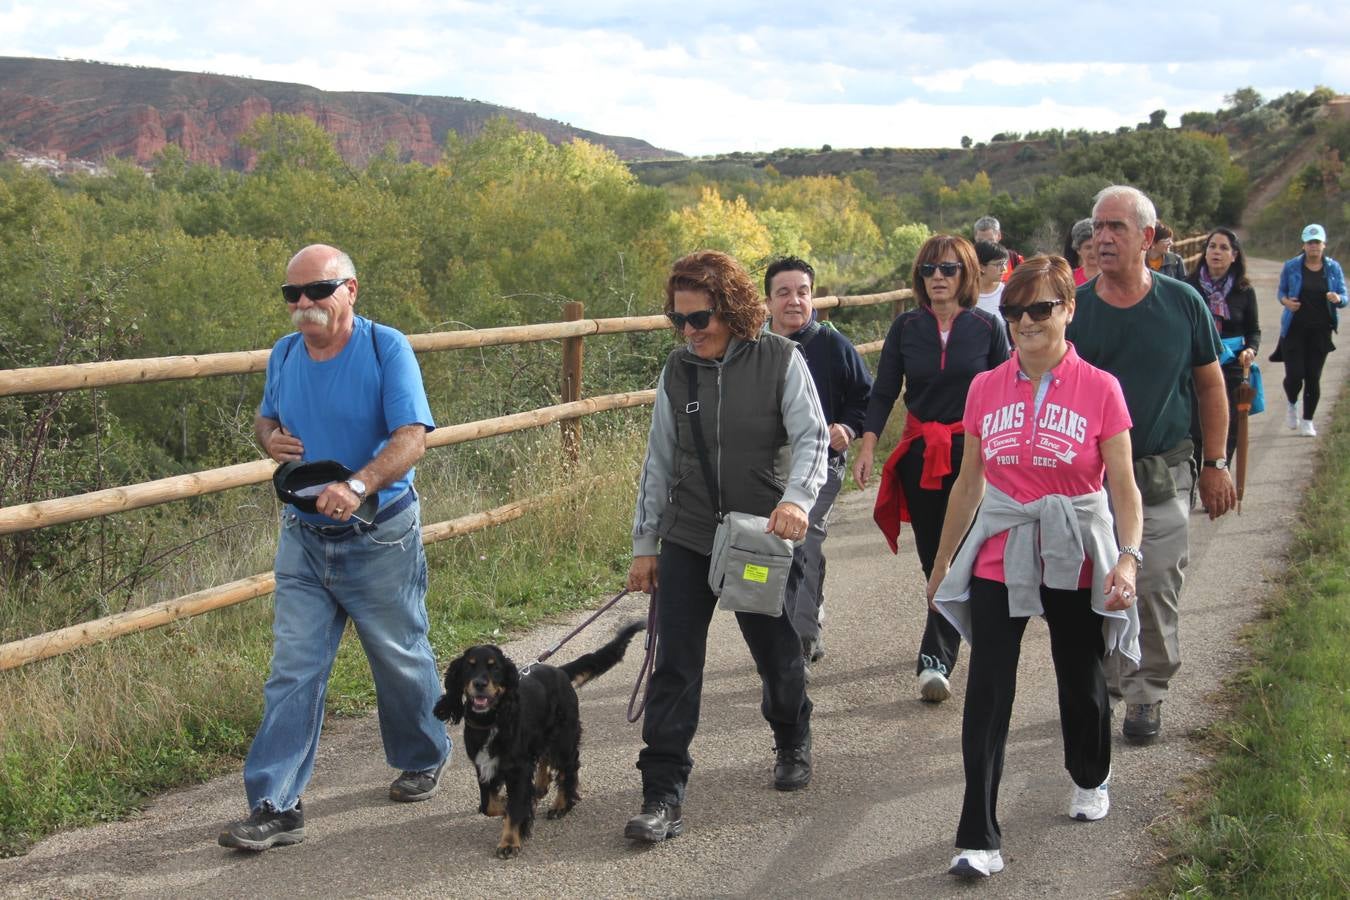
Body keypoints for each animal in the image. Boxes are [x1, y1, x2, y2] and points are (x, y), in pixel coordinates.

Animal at [432, 620, 642, 858]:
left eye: (495, 667)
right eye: (469, 666)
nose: (479, 684)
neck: (492, 720)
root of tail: (559, 671)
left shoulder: (517, 768)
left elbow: (515, 807)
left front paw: (509, 842)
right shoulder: (483, 764)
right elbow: (489, 805)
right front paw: (509, 804)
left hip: (564, 736)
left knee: (568, 769)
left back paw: (561, 805)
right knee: (544, 757)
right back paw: (541, 786)